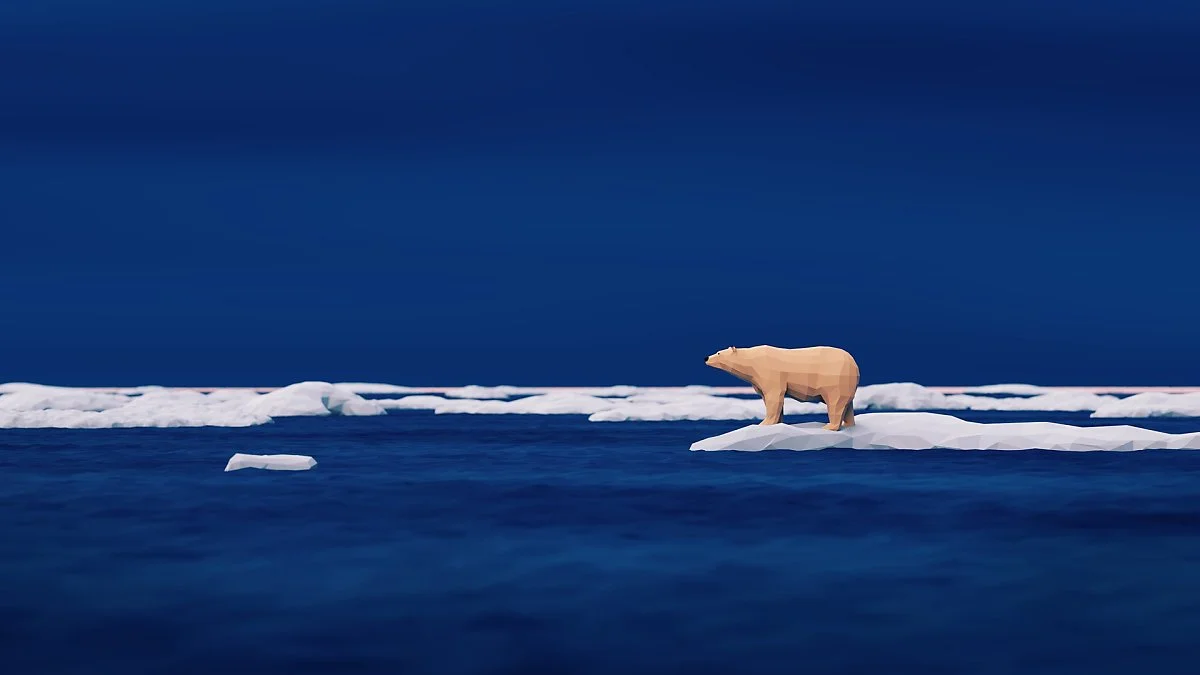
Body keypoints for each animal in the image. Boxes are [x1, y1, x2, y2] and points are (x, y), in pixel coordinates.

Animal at [705, 345, 860, 430]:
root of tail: (854, 364)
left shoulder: (768, 373)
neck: (752, 362)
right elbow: (768, 399)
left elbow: (774, 397)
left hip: (835, 378)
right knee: (847, 404)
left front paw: (763, 423)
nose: (706, 357)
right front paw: (777, 423)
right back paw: (849, 425)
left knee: (835, 402)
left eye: (718, 352)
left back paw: (829, 426)